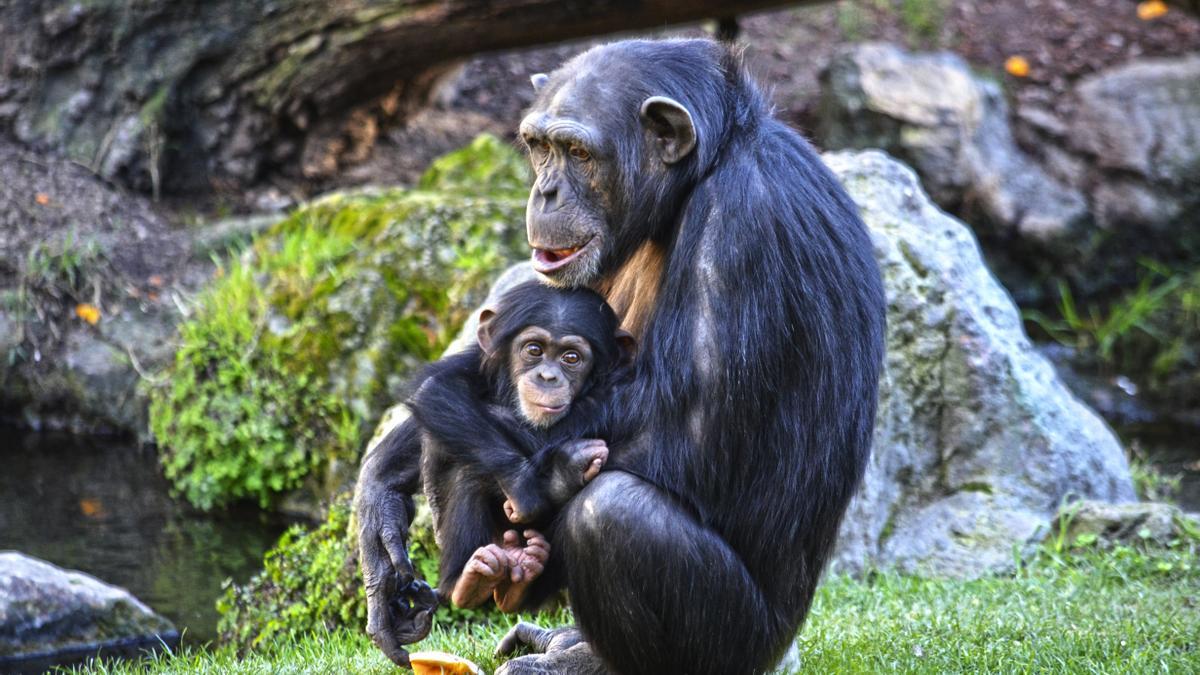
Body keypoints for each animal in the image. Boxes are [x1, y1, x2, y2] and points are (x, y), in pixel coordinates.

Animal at [403, 278, 633, 610]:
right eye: (534, 350)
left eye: (571, 358)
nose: (548, 376)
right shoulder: (475, 361)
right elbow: (437, 390)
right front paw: (527, 484)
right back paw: (468, 581)